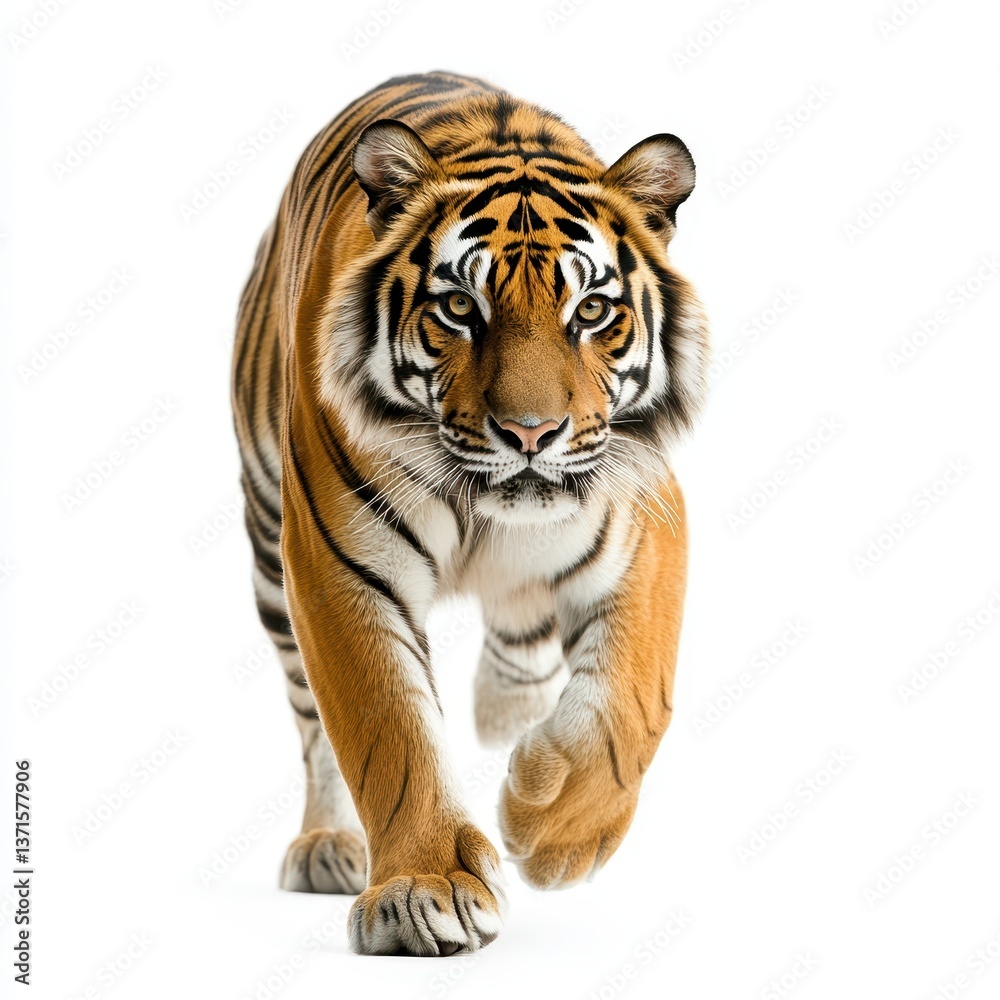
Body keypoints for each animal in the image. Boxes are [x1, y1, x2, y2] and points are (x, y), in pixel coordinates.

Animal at [231, 71, 709, 957]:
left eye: (591, 312)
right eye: (460, 307)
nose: (530, 433)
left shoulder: (646, 511)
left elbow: (633, 695)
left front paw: (552, 826)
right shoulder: (337, 561)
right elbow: (387, 728)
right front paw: (425, 888)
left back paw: (507, 716)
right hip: (267, 543)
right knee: (312, 720)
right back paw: (328, 845)